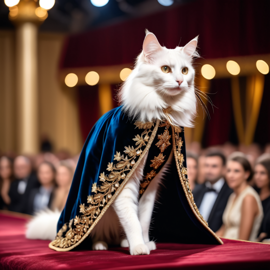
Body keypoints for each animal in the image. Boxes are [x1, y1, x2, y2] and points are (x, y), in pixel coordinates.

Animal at [25, 31, 198, 255]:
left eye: (185, 71)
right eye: (165, 69)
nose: (179, 81)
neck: (161, 116)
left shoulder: (151, 183)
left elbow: (142, 221)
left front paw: (144, 243)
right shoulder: (125, 183)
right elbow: (132, 222)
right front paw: (139, 248)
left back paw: (123, 242)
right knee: (97, 234)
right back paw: (101, 245)